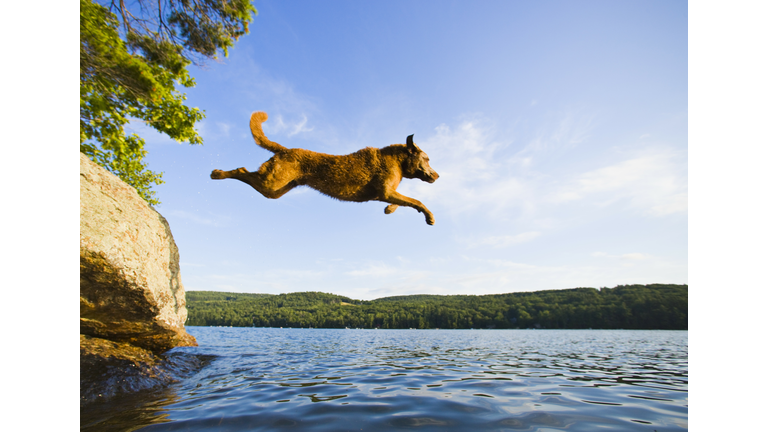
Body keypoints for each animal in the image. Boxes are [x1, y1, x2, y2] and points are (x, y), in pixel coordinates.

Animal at [210, 111, 440, 224]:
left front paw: (390, 209)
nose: (437, 175)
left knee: (246, 174)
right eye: (427, 159)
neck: (397, 161)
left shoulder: (388, 193)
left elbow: (405, 201)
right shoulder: (385, 191)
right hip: (271, 183)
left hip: (276, 190)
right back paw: (217, 174)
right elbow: (417, 201)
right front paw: (429, 216)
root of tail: (284, 150)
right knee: (241, 171)